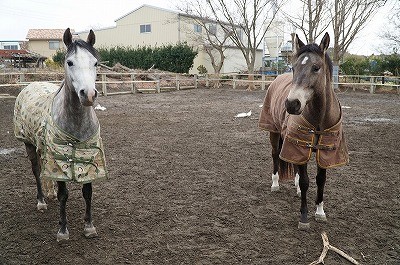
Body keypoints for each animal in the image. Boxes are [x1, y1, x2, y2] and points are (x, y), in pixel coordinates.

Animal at [14, 27, 108, 240]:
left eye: (95, 63)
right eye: (70, 62)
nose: (88, 95)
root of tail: (31, 85)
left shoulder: (88, 157)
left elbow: (87, 191)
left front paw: (89, 226)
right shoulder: (59, 158)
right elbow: (64, 194)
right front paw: (63, 230)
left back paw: (49, 194)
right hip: (28, 143)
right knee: (36, 170)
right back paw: (42, 201)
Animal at [260, 32, 346, 228]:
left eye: (316, 67)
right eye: (293, 68)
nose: (292, 104)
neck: (320, 118)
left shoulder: (324, 151)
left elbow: (320, 181)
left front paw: (320, 211)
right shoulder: (299, 144)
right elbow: (307, 181)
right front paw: (304, 216)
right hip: (275, 133)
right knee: (275, 155)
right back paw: (275, 184)